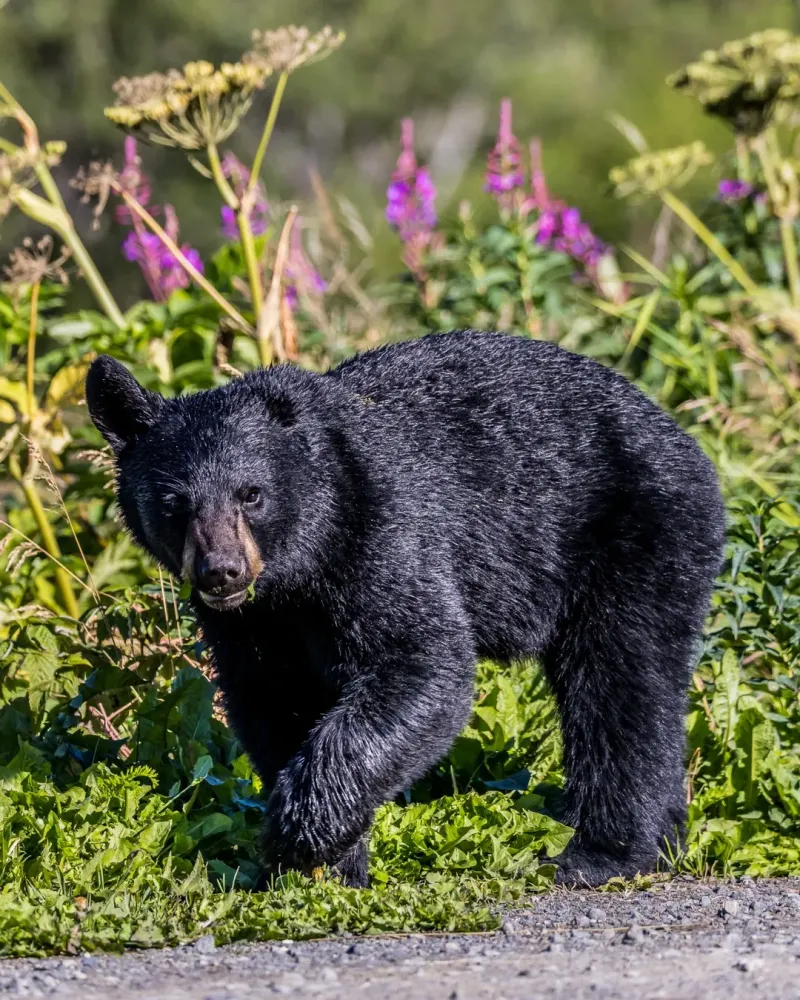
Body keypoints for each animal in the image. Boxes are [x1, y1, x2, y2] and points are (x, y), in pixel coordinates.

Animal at [85, 329, 725, 888]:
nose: (222, 571)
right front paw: (328, 865)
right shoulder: (252, 624)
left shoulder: (381, 526)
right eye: (174, 502)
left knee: (621, 680)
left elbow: (419, 663)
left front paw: (300, 830)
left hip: (638, 529)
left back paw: (606, 852)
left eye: (252, 494)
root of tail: (678, 434)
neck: (302, 568)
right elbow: (275, 701)